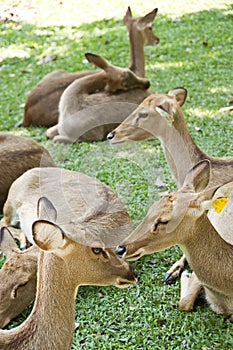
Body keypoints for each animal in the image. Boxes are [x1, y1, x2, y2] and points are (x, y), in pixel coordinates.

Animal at [120, 160, 233, 322]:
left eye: (164, 221)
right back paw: (171, 273)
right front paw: (186, 276)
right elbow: (184, 303)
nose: (120, 249)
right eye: (151, 208)